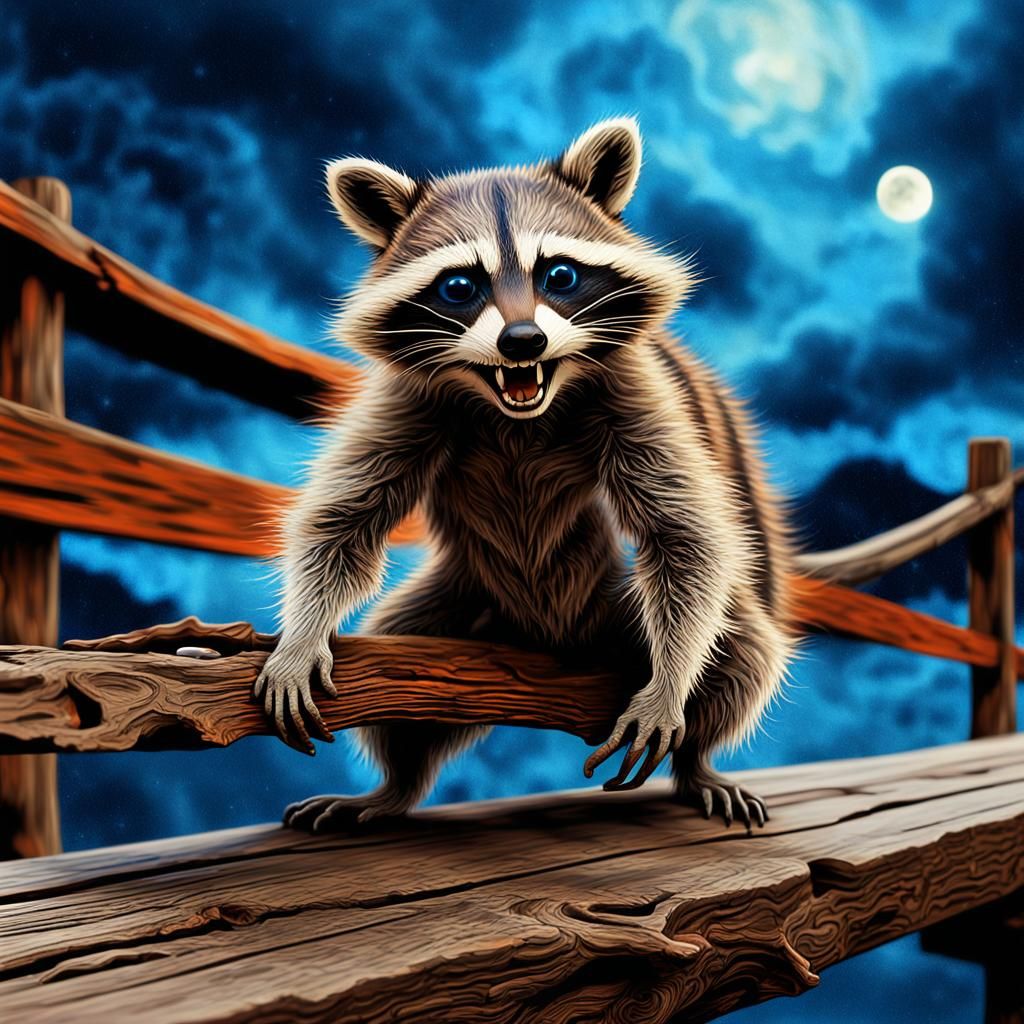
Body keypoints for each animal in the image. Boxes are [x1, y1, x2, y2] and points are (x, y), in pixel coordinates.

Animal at [254, 118, 797, 832]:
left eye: (560, 274)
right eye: (459, 287)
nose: (521, 341)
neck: (518, 406)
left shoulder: (633, 389)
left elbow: (687, 537)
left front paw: (669, 689)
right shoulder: (411, 398)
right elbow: (342, 519)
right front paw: (301, 635)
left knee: (741, 651)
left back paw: (697, 759)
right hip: (467, 606)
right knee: (399, 679)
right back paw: (394, 786)